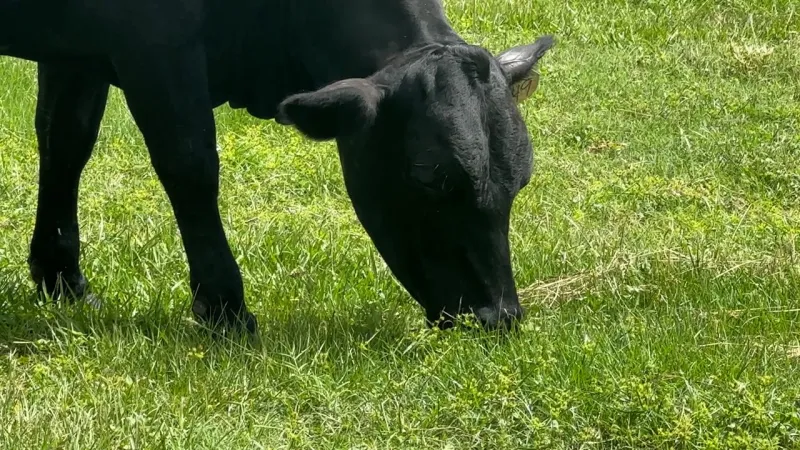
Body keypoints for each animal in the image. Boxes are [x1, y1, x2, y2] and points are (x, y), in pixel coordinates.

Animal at [0, 0, 555, 335]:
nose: (498, 317)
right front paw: (225, 309)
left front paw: (63, 282)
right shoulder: (153, 44)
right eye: (429, 180)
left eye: (519, 181)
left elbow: (65, 143)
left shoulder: (76, 46)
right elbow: (190, 163)